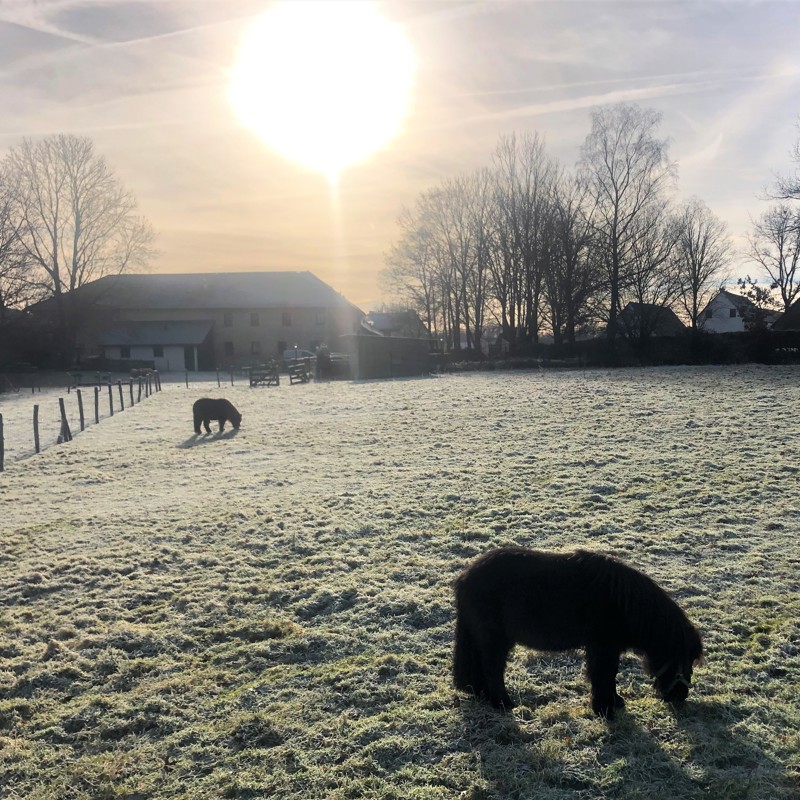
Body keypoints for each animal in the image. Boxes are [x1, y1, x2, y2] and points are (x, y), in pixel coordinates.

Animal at [454, 548, 704, 720]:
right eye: (685, 659)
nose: (680, 696)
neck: (623, 604)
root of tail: (465, 577)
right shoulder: (602, 647)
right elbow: (603, 674)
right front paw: (605, 709)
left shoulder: (607, 648)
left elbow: (609, 674)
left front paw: (615, 702)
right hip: (495, 641)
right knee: (492, 669)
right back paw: (503, 704)